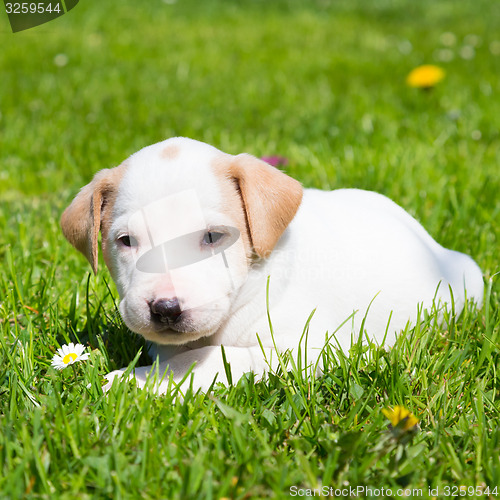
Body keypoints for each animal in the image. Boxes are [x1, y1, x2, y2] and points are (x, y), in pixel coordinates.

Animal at [60, 136, 482, 390]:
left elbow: (213, 358)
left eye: (212, 237)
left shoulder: (307, 349)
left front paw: (141, 382)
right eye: (126, 241)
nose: (165, 309)